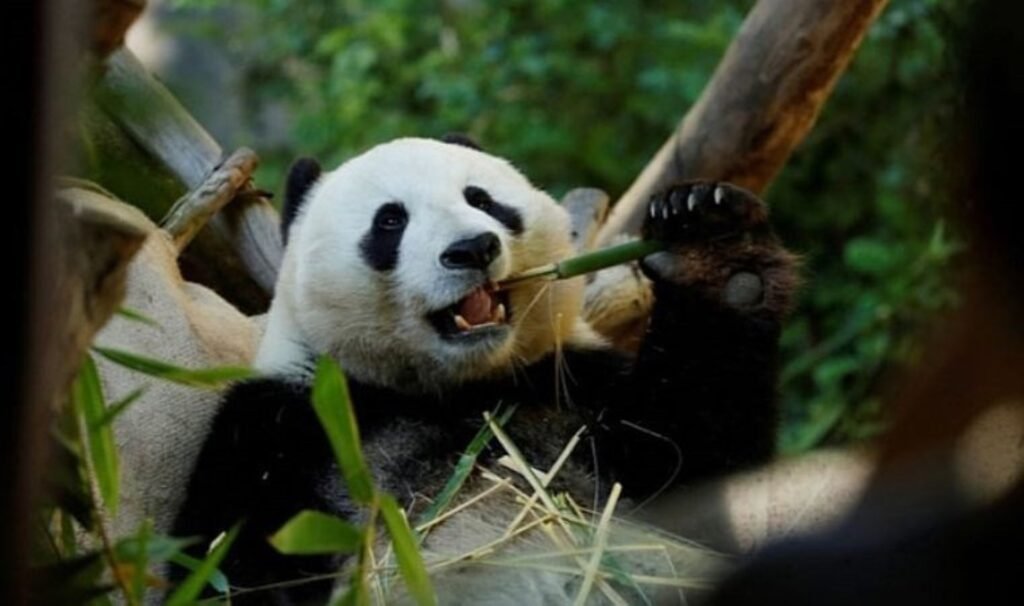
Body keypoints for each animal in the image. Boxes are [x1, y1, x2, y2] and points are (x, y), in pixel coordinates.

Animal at [172, 136, 799, 604]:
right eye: (390, 221)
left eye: (482, 199)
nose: (472, 248)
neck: (453, 388)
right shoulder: (284, 427)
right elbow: (224, 565)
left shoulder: (576, 386)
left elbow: (699, 458)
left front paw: (716, 252)